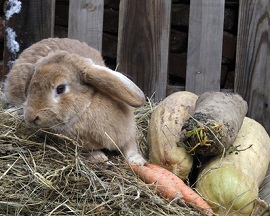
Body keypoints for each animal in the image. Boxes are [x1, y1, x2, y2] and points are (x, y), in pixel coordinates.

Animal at [3, 37, 147, 165]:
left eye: (60, 88)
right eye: (31, 85)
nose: (31, 118)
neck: (86, 108)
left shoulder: (128, 135)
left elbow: (130, 147)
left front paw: (137, 161)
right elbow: (90, 151)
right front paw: (99, 157)